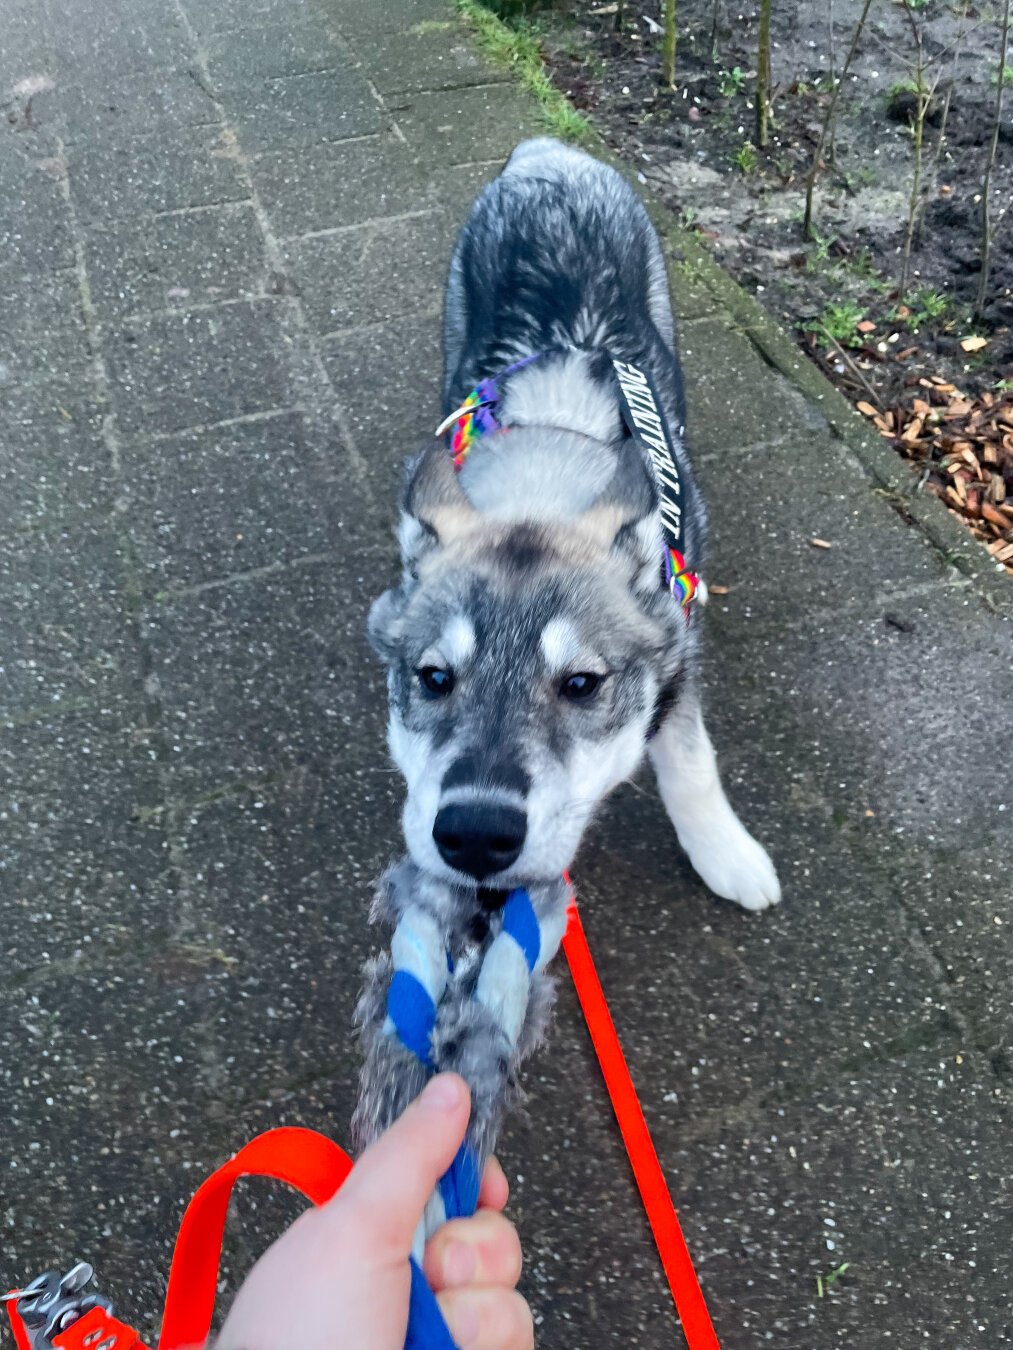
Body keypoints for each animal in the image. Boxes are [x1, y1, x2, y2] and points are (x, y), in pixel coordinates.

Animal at [370, 137, 783, 912]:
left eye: (582, 684)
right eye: (435, 678)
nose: (475, 835)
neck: (546, 465)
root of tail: (548, 154)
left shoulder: (678, 661)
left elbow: (690, 761)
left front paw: (725, 853)